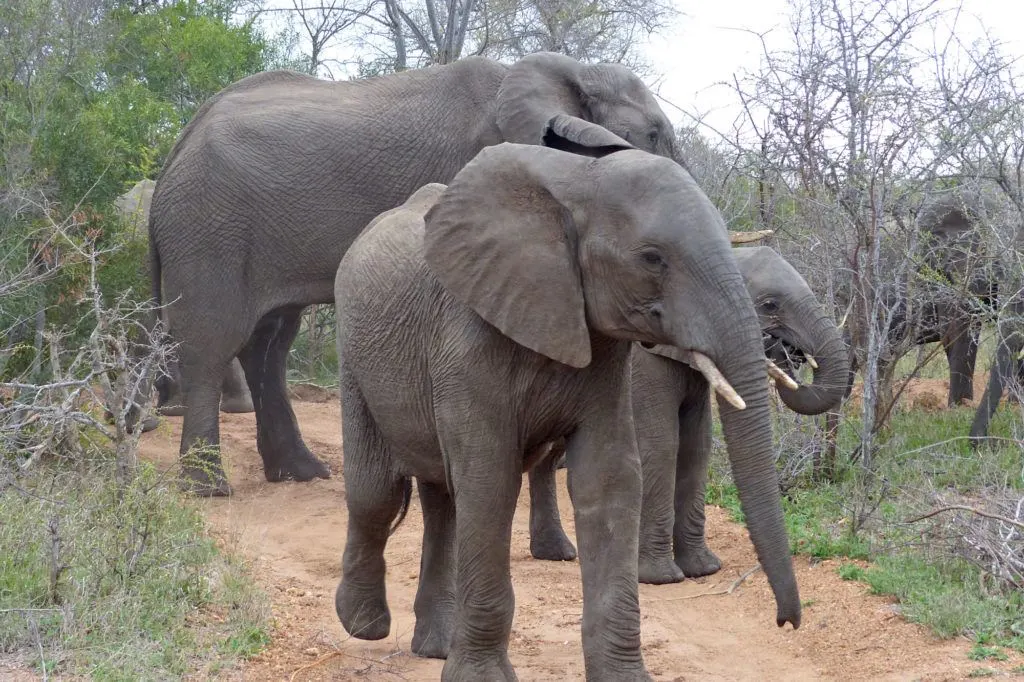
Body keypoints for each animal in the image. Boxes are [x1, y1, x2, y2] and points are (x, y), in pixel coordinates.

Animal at [149, 52, 687, 496]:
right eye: (654, 134)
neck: (567, 71)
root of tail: (178, 144)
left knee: (269, 342)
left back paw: (301, 473)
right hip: (209, 226)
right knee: (213, 341)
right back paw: (209, 489)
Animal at [333, 138, 801, 681]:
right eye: (652, 258)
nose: (786, 622)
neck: (579, 182)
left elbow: (609, 478)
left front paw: (623, 677)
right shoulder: (466, 337)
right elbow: (491, 481)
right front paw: (482, 680)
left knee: (442, 499)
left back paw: (436, 647)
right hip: (355, 357)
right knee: (378, 492)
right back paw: (363, 625)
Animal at [527, 246, 849, 584]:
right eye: (770, 304)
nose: (787, 353)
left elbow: (697, 446)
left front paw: (703, 569)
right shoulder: (645, 366)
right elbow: (663, 446)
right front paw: (660, 578)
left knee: (547, 455)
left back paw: (557, 553)